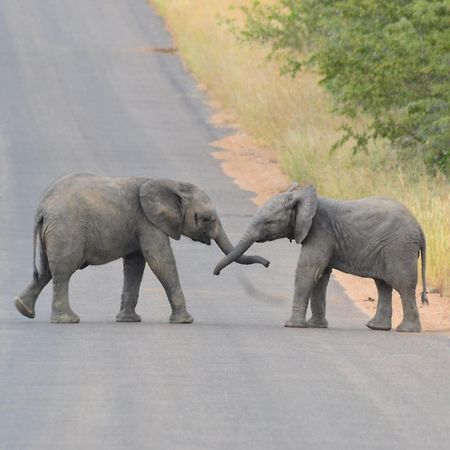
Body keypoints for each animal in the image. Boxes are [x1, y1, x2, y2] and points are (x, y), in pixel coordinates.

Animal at [14, 173, 268, 324]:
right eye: (206, 219)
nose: (267, 263)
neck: (172, 183)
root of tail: (42, 208)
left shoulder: (140, 225)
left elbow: (136, 265)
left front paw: (128, 320)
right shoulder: (149, 222)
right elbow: (161, 261)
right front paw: (185, 321)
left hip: (55, 232)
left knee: (46, 271)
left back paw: (23, 310)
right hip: (67, 230)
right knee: (63, 272)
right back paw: (68, 320)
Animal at [213, 181, 428, 332]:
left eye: (268, 222)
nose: (267, 263)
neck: (302, 197)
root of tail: (419, 227)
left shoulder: (320, 232)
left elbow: (308, 271)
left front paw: (292, 325)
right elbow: (321, 276)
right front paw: (316, 326)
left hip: (399, 247)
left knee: (403, 285)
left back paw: (406, 330)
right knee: (383, 284)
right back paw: (376, 327)